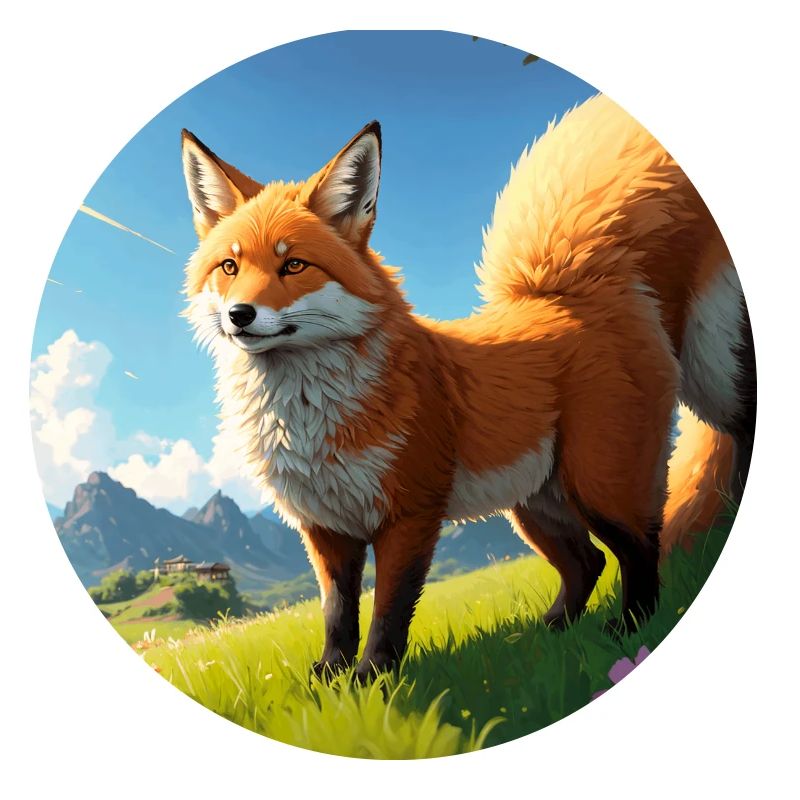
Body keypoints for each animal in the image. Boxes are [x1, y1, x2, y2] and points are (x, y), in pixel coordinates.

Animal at [180, 94, 755, 680]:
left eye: (293, 264)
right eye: (229, 266)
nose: (239, 315)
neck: (308, 423)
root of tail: (575, 293)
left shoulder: (409, 514)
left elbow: (388, 610)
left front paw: (372, 678)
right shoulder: (324, 529)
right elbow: (337, 611)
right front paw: (331, 676)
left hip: (603, 480)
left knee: (644, 543)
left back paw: (630, 626)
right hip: (536, 504)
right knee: (588, 561)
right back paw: (549, 631)